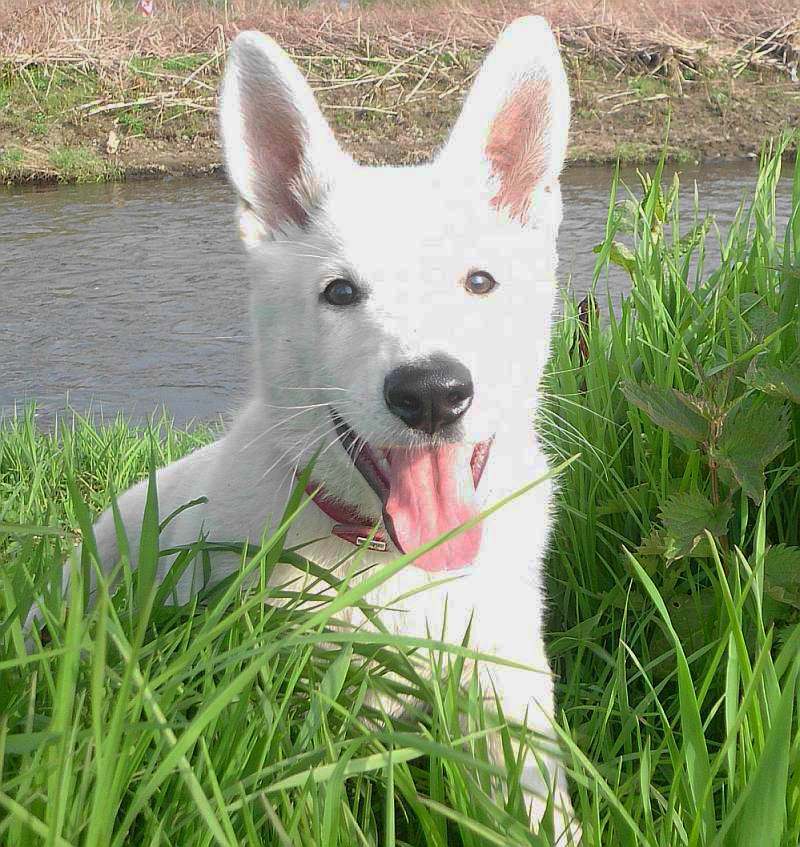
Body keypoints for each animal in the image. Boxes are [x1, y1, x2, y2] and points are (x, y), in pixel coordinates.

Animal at [76, 13, 576, 840]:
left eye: (480, 281)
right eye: (340, 292)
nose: (431, 393)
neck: (397, 565)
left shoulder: (509, 683)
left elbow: (537, 792)